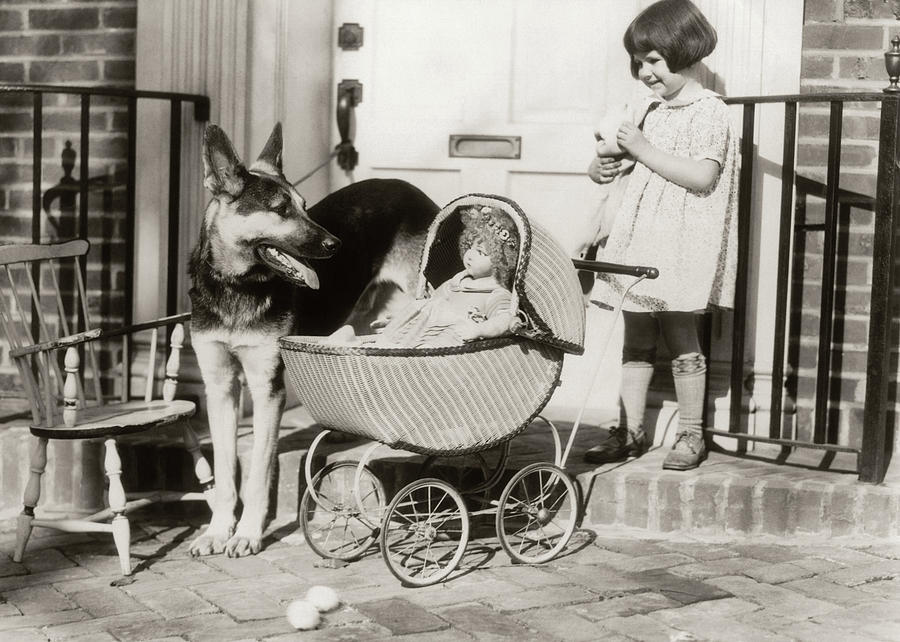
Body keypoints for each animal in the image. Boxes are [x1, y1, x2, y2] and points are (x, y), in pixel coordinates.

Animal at [188, 122, 438, 552]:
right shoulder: (219, 387)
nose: (335, 245)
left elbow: (258, 474)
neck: (237, 287)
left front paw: (248, 532)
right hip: (358, 322)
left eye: (304, 205)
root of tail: (407, 185)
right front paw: (218, 530)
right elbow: (223, 473)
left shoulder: (267, 388)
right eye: (281, 209)